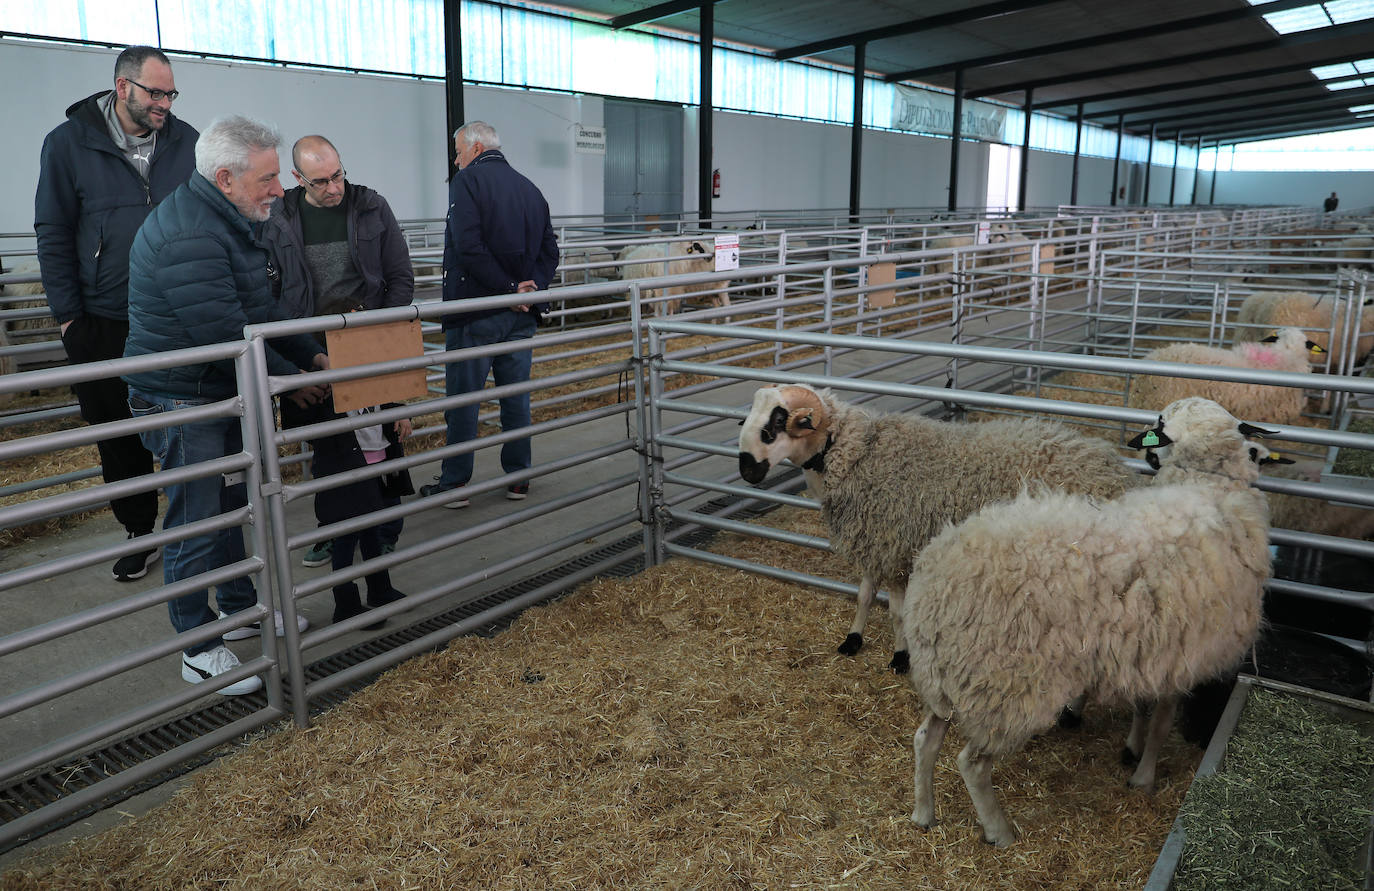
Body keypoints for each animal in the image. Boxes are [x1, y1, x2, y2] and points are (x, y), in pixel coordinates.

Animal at [736, 382, 1143, 668]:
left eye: (776, 423)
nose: (746, 470)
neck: (855, 453)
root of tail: (1116, 474)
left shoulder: (897, 545)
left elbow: (897, 612)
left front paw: (900, 657)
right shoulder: (874, 540)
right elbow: (865, 595)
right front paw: (852, 639)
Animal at [901, 398, 1275, 847]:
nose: (1142, 449)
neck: (1206, 484)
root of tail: (936, 581)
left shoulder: (1150, 649)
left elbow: (1144, 708)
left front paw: (1131, 749)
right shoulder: (1182, 655)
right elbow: (1162, 724)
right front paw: (1144, 776)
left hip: (950, 677)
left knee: (925, 739)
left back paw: (923, 812)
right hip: (1006, 690)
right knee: (971, 763)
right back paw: (999, 831)